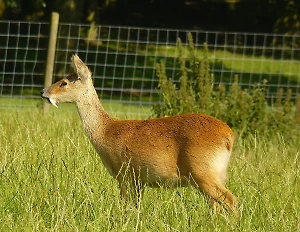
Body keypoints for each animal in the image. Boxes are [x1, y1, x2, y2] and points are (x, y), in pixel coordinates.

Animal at [39, 54, 238, 214]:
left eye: (64, 83)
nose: (43, 92)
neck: (105, 131)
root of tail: (228, 136)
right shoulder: (138, 180)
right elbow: (137, 207)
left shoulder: (123, 173)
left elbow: (126, 205)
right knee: (216, 205)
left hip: (202, 171)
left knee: (231, 200)